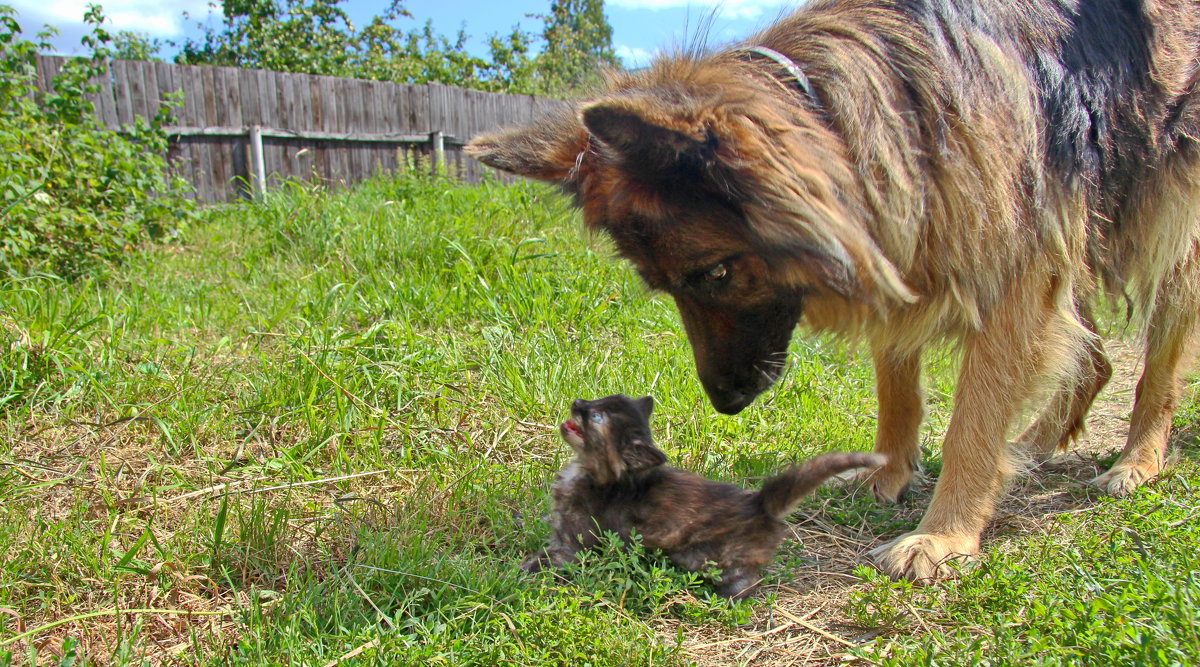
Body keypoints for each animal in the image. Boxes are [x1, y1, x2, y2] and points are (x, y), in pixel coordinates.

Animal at [520, 395, 888, 599]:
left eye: (595, 417)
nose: (577, 404)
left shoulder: (573, 546)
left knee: (746, 580)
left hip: (712, 559)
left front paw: (517, 572)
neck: (599, 475)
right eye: (595, 402)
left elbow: (540, 561)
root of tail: (759, 503)